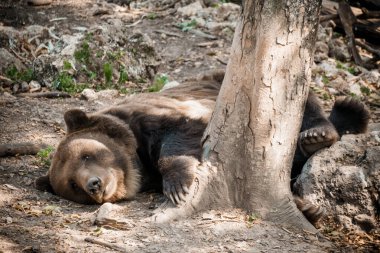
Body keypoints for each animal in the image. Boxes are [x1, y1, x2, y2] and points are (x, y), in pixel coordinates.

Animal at [35, 69, 368, 219]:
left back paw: (319, 134)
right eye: (72, 185)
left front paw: (178, 185)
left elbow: (181, 136)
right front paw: (307, 207)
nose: (93, 185)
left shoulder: (166, 115)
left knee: (303, 104)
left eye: (88, 154)